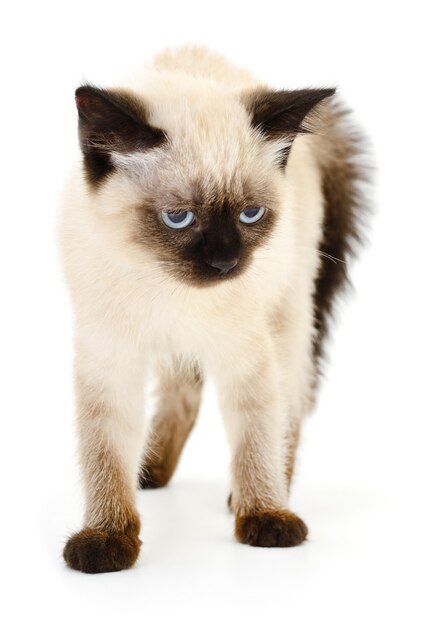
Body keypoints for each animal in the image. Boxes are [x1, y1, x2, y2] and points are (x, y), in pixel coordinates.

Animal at [61, 46, 368, 572]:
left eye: (251, 214)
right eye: (178, 218)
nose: (226, 262)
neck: (168, 291)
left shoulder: (246, 356)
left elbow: (256, 436)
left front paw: (265, 515)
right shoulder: (109, 362)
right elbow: (106, 454)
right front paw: (107, 539)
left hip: (288, 319)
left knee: (289, 408)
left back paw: (268, 490)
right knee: (182, 396)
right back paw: (150, 471)